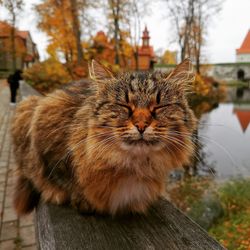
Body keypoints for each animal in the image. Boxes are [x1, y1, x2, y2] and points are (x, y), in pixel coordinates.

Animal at [11, 58, 195, 215]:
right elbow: (56, 178)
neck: (132, 165)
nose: (141, 125)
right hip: (29, 106)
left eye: (159, 107)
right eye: (124, 106)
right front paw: (79, 200)